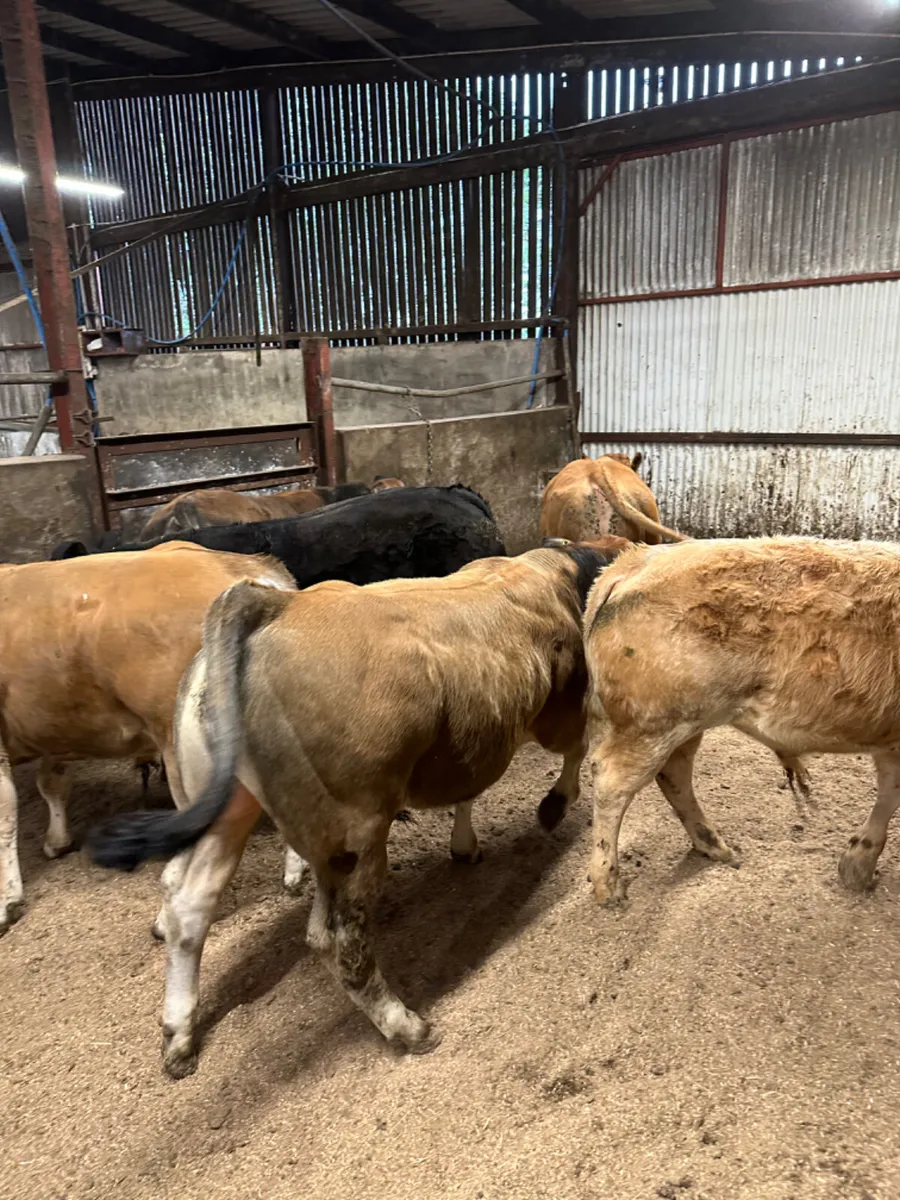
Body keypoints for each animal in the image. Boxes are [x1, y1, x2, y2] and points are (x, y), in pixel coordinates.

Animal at [0, 542, 296, 936]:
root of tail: (249, 573)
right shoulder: (52, 722)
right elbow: (52, 782)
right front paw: (56, 841)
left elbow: (5, 810)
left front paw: (7, 902)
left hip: (179, 747)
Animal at [85, 541, 618, 1077]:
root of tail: (272, 604)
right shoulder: (557, 709)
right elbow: (577, 749)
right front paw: (553, 806)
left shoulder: (470, 742)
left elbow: (468, 790)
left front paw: (465, 845)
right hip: (355, 831)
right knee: (337, 940)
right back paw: (406, 1026)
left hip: (228, 805)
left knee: (189, 900)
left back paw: (179, 1037)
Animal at [582, 536, 900, 907]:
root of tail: (637, 558)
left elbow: (889, 792)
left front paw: (857, 865)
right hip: (652, 725)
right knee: (613, 781)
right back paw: (608, 885)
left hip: (684, 724)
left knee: (674, 774)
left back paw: (715, 846)